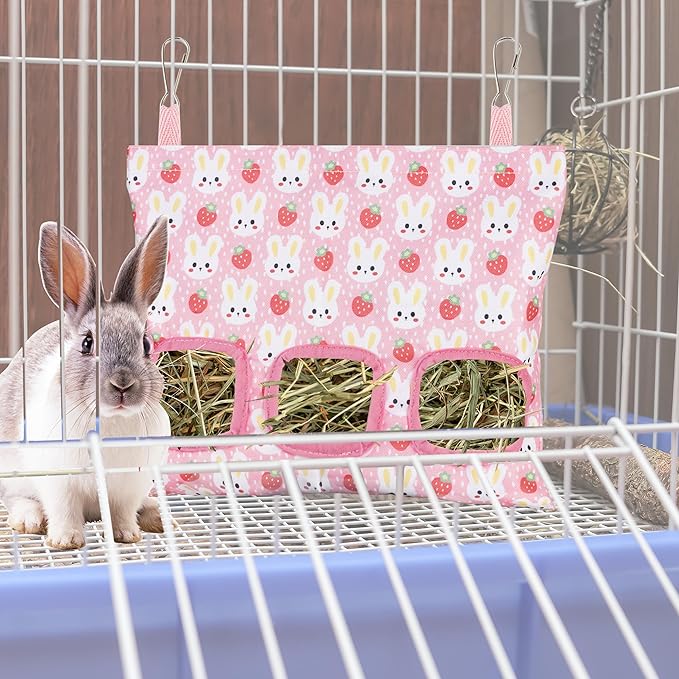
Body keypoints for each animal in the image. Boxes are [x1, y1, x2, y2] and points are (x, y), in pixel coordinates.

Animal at [0, 217, 170, 550]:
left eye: (146, 344)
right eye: (87, 343)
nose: (122, 384)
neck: (110, 421)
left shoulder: (129, 486)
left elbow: (122, 513)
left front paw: (127, 535)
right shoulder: (59, 481)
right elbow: (64, 510)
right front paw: (65, 541)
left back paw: (155, 515)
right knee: (15, 498)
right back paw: (29, 520)